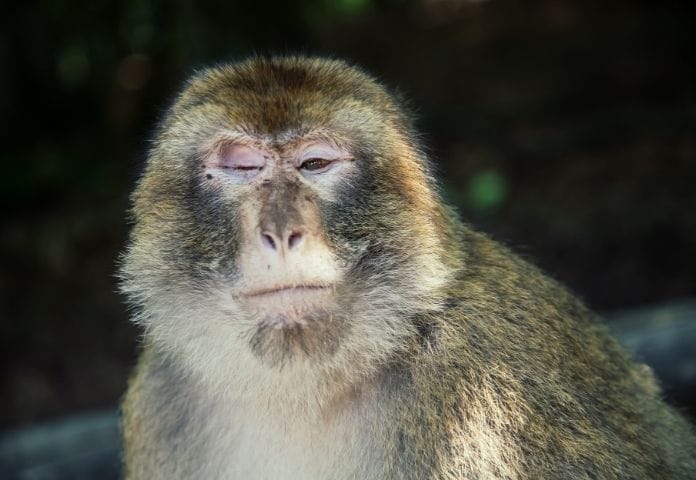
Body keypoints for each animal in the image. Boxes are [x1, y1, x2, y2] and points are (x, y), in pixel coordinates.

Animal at [119, 56, 696, 479]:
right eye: (242, 167)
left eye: (315, 164)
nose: (281, 233)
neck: (304, 388)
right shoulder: (164, 391)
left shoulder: (479, 399)